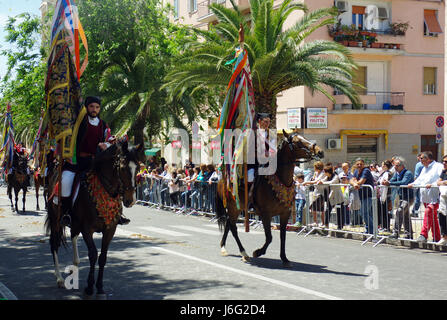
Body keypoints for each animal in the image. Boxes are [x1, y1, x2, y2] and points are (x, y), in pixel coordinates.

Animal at [45, 141, 144, 300]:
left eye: (138, 168)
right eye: (123, 168)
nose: (131, 200)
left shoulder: (110, 229)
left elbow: (103, 257)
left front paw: (100, 288)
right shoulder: (87, 229)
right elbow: (93, 255)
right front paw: (90, 288)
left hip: (74, 223)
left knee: (73, 236)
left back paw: (75, 266)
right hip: (56, 220)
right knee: (54, 243)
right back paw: (59, 278)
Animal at [215, 129, 324, 266]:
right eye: (297, 142)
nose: (320, 151)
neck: (280, 178)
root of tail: (223, 179)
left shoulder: (285, 213)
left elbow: (282, 236)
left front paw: (284, 258)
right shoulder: (265, 214)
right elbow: (269, 237)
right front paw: (258, 252)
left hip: (237, 208)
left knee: (229, 224)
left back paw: (223, 247)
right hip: (233, 206)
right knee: (233, 227)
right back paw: (244, 253)